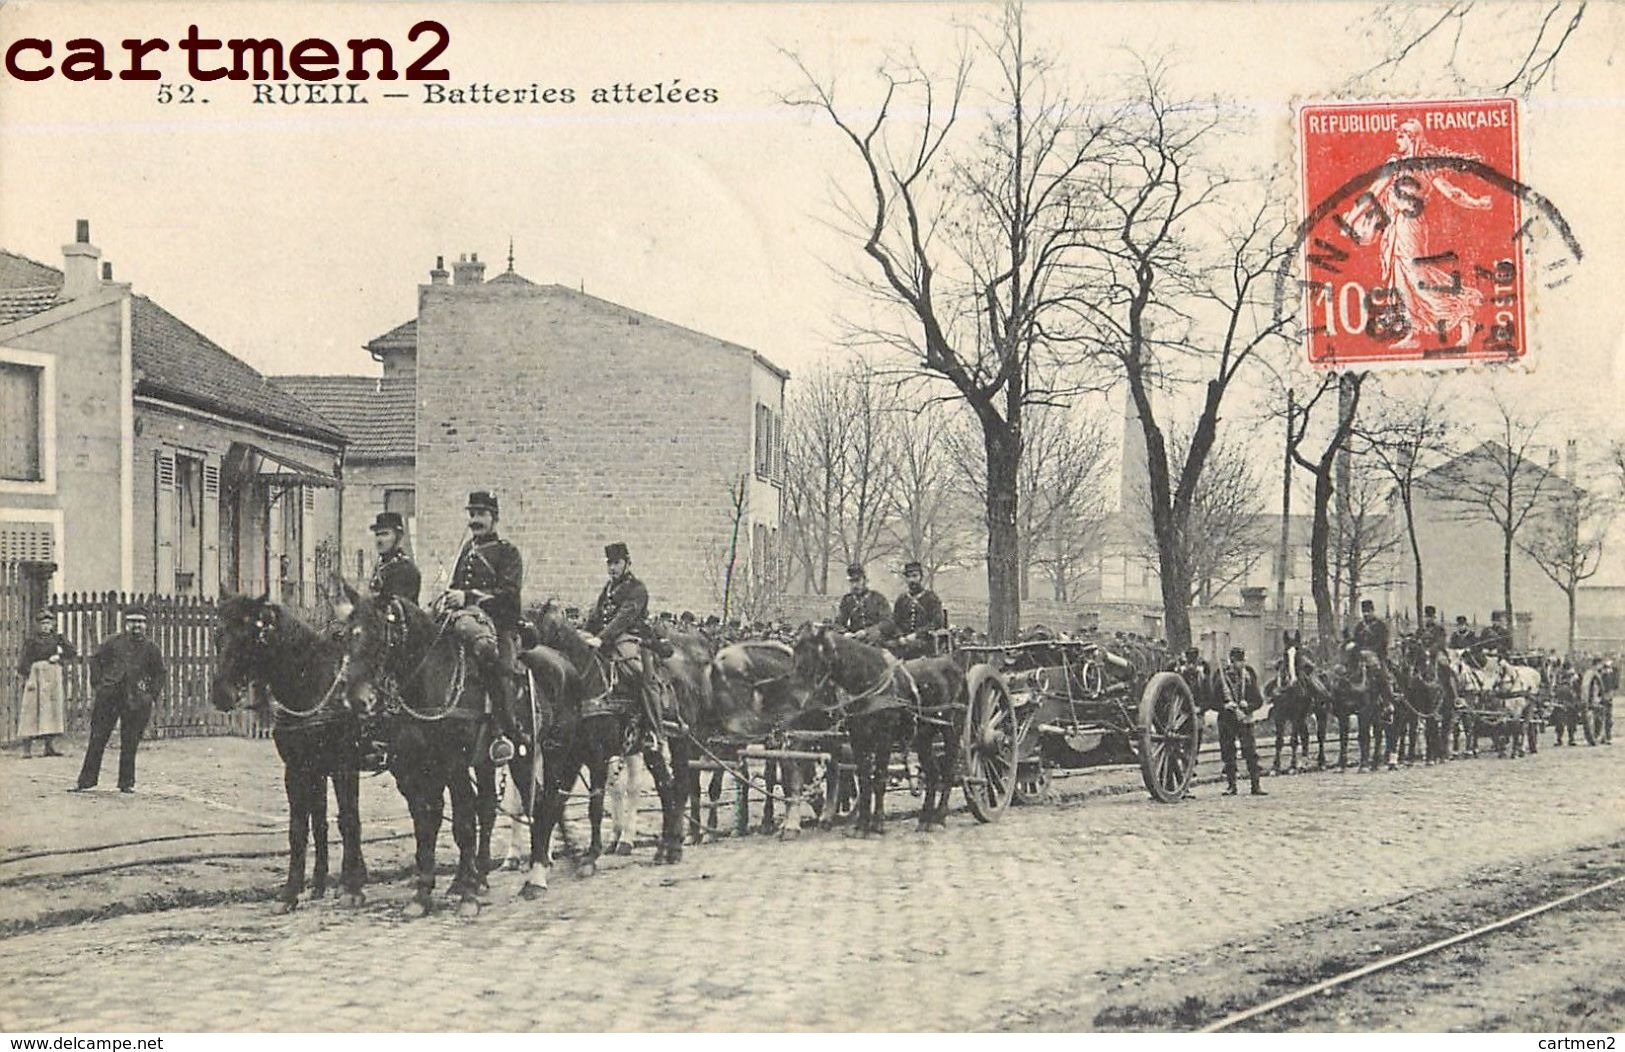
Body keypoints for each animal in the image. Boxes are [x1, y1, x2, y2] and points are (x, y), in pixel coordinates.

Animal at [208, 598, 367, 910]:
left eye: (250, 637)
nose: (221, 694)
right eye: (218, 633)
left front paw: (352, 888)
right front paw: (295, 890)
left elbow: (348, 820)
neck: (313, 682)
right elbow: (304, 827)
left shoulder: (344, 766)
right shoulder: (299, 769)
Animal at [336, 588, 539, 917]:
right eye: (345, 636)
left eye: (379, 635)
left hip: (518, 756)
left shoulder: (454, 765)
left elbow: (462, 825)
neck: (428, 681)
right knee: (486, 807)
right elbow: (425, 825)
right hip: (483, 762)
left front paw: (467, 897)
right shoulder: (413, 769)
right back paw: (474, 877)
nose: (356, 700)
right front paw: (422, 894)